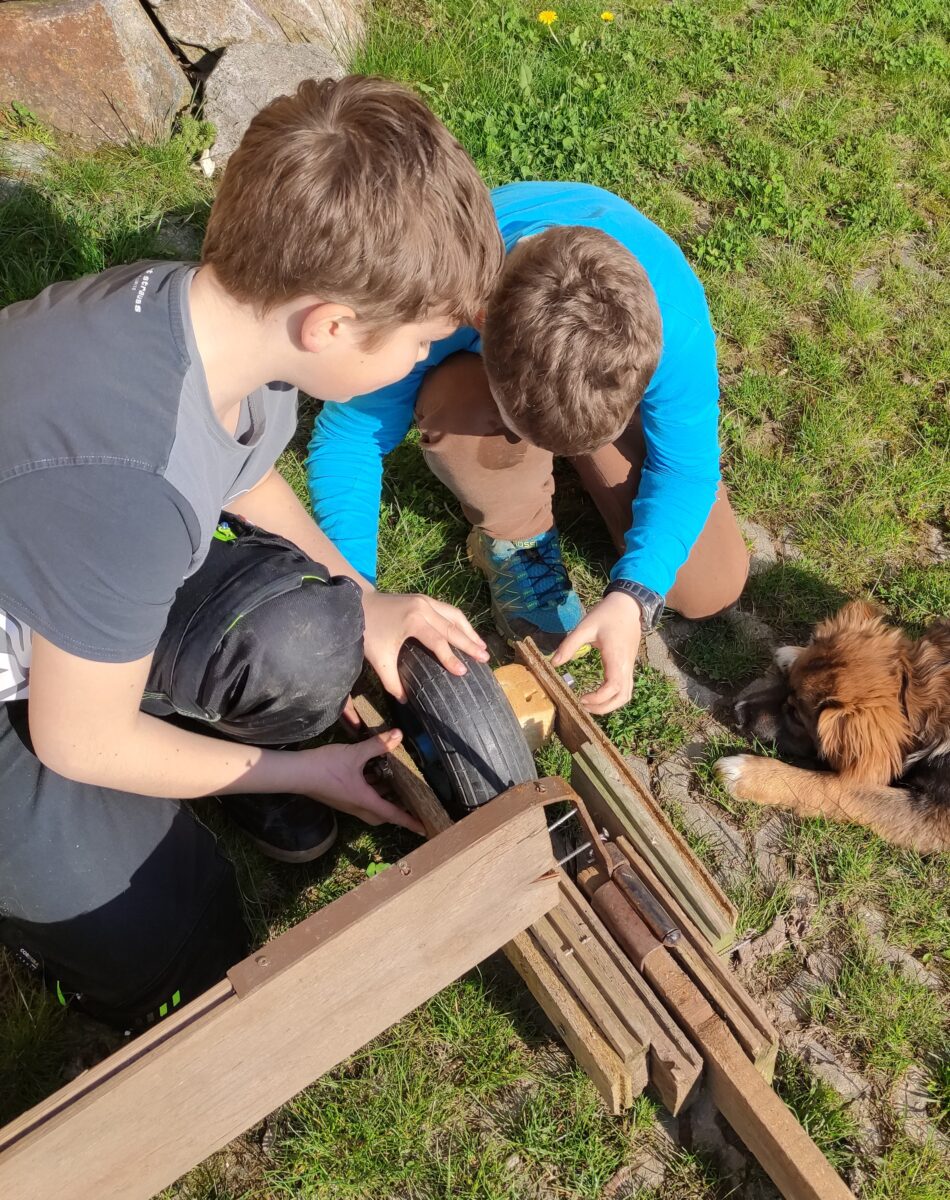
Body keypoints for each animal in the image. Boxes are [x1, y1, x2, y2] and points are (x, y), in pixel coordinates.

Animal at [714, 600, 945, 854]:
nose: (737, 711)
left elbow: (839, 787)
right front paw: (793, 654)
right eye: (787, 684)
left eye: (795, 715)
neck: (914, 700)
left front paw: (748, 773)